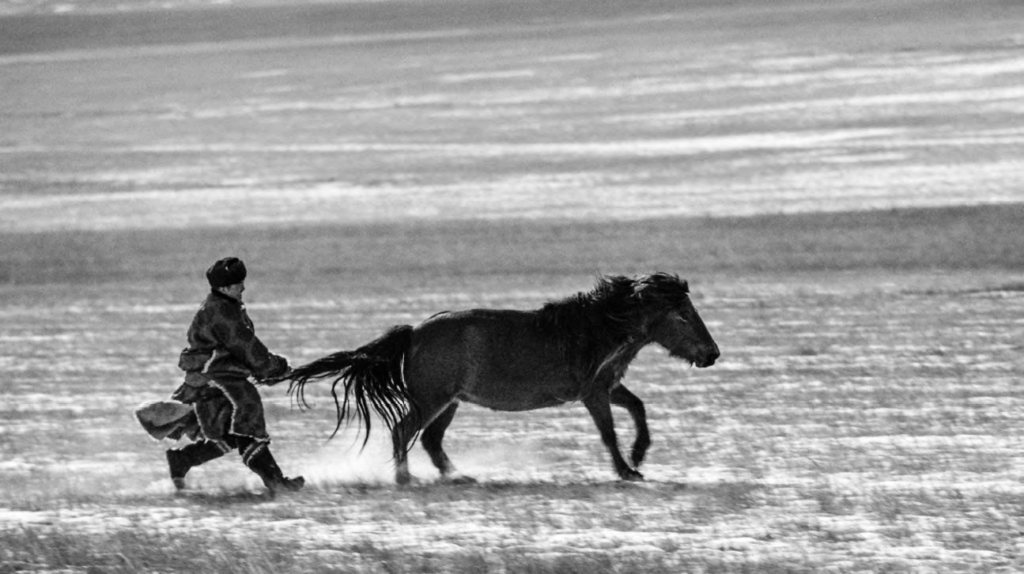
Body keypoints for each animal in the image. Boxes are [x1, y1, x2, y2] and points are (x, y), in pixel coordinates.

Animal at [283, 272, 719, 484]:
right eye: (682, 315)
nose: (712, 354)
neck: (597, 330)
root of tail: (413, 333)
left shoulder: (606, 387)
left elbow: (639, 408)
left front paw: (639, 456)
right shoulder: (593, 394)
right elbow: (608, 433)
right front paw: (627, 471)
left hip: (450, 402)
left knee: (430, 439)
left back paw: (459, 476)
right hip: (431, 399)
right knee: (403, 430)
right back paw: (405, 478)